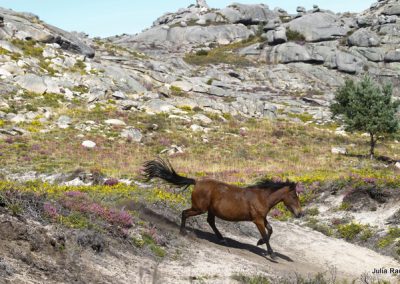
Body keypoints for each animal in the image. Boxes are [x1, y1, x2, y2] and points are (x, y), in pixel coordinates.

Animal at [144, 159, 304, 258]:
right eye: (294, 196)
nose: (300, 214)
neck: (261, 197)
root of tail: (197, 182)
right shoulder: (257, 220)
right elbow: (266, 234)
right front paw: (271, 253)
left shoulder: (261, 218)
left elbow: (270, 230)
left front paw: (260, 243)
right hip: (199, 208)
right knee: (185, 213)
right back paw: (183, 232)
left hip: (210, 210)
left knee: (210, 221)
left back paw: (221, 239)